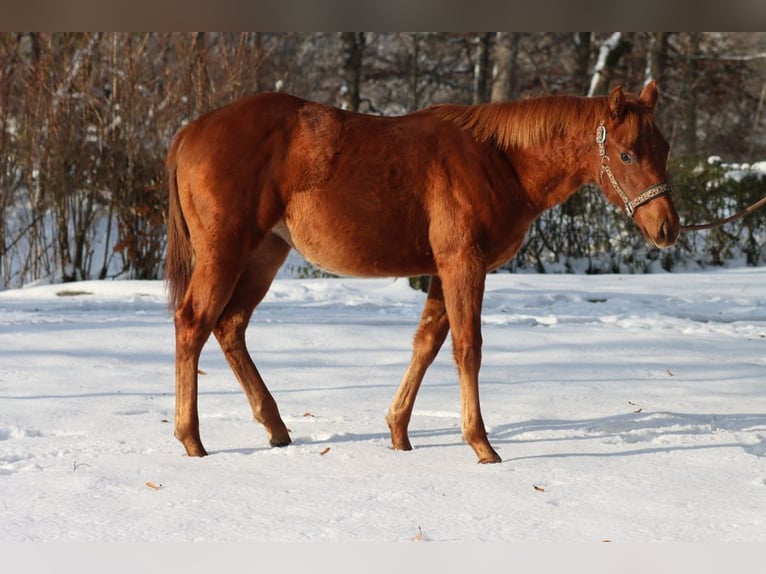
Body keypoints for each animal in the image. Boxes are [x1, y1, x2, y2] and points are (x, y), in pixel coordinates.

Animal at [165, 81, 680, 466]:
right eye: (627, 154)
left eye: (665, 148)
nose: (667, 228)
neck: (499, 161)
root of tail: (191, 130)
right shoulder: (462, 264)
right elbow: (467, 349)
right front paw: (480, 443)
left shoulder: (441, 271)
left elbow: (427, 344)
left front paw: (399, 431)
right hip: (225, 253)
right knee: (193, 324)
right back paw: (192, 439)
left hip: (264, 254)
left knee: (230, 327)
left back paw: (274, 427)